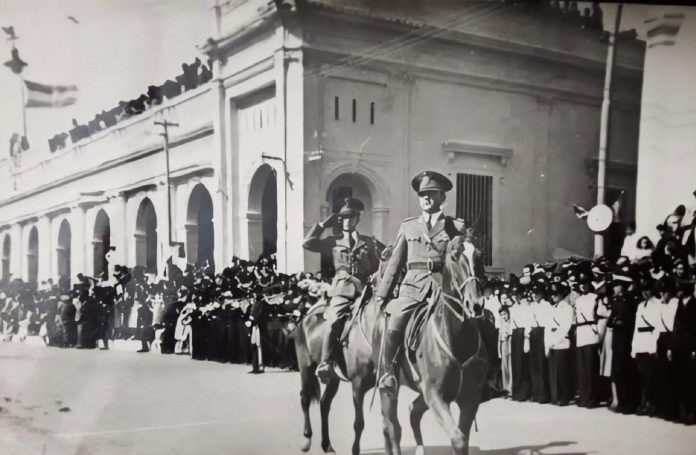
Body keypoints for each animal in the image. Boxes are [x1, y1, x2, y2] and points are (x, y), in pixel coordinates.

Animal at [292, 280, 384, 454]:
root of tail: (306, 317)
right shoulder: (358, 385)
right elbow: (359, 423)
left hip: (333, 377)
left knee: (324, 403)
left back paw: (327, 445)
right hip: (306, 367)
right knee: (304, 398)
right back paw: (306, 439)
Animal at [376, 237, 490, 455]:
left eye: (480, 256)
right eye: (454, 257)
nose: (476, 304)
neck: (457, 337)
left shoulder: (470, 399)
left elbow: (463, 440)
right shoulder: (435, 395)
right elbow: (458, 439)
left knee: (412, 411)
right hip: (388, 386)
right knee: (391, 426)